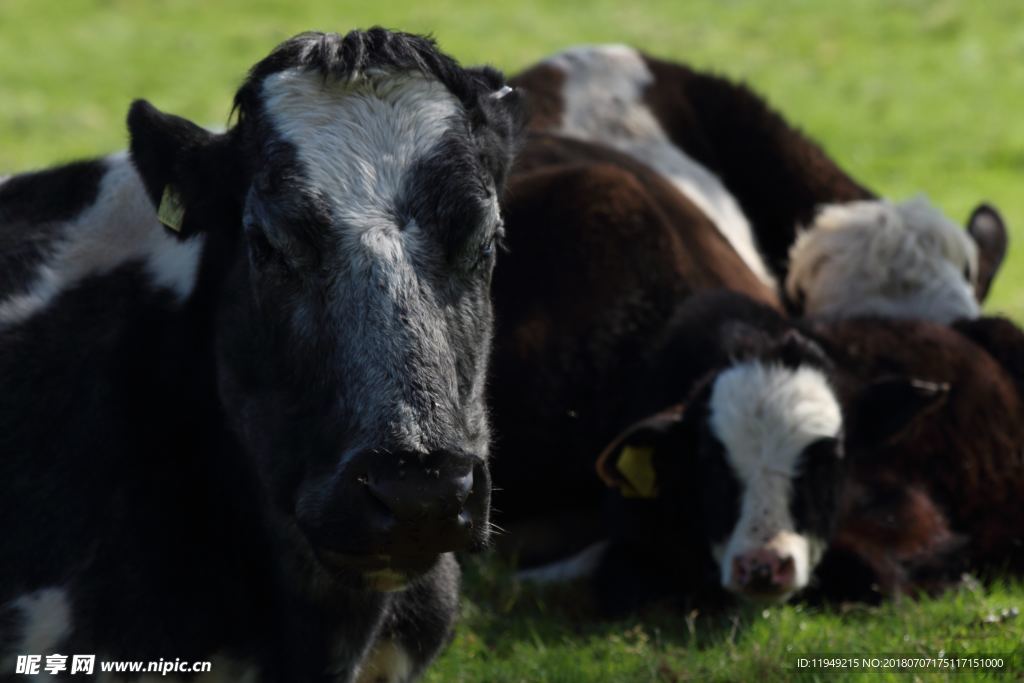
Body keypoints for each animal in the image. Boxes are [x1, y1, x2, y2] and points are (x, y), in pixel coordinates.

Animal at [561, 290, 1024, 614]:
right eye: (710, 461)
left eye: (828, 459)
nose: (763, 566)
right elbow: (624, 589)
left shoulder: (911, 520)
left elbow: (877, 574)